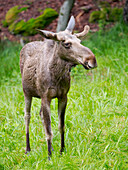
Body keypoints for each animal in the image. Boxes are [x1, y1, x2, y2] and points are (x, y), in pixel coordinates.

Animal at [19, 16, 97, 158]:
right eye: (66, 44)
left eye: (79, 41)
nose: (92, 60)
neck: (56, 77)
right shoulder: (45, 97)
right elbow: (49, 130)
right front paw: (49, 156)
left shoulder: (63, 96)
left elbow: (61, 126)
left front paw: (61, 150)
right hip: (27, 93)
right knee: (27, 116)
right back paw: (28, 149)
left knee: (40, 115)